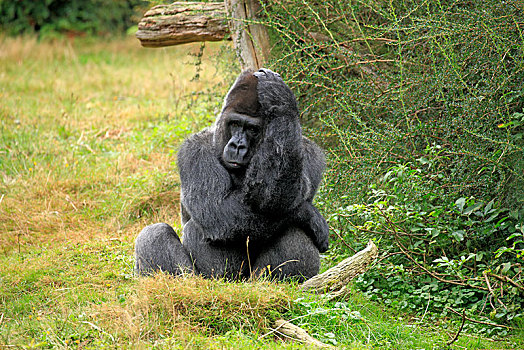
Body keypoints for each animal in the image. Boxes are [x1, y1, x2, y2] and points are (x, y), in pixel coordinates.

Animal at [136, 68, 332, 282]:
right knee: (155, 233)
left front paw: (279, 100)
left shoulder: (310, 151)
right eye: (235, 123)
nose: (237, 146)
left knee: (292, 227)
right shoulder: (195, 149)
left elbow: (274, 198)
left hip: (255, 279)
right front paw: (309, 214)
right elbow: (219, 211)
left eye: (252, 129)